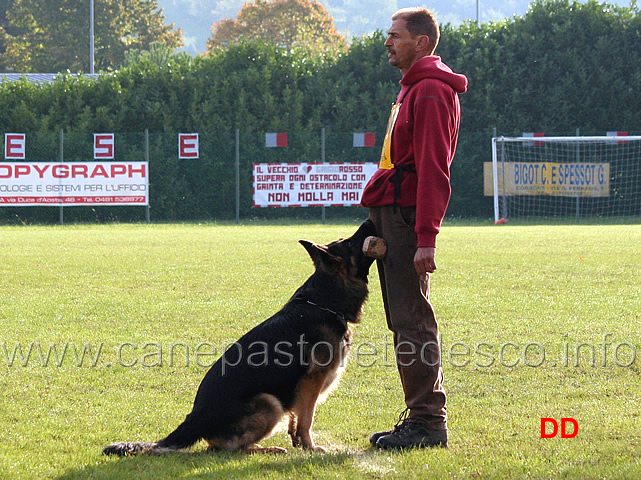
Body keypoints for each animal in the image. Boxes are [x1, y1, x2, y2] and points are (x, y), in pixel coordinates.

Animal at [102, 219, 378, 456]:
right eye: (351, 243)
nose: (368, 220)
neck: (323, 301)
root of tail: (195, 417)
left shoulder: (299, 390)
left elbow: (295, 419)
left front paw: (299, 444)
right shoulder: (312, 380)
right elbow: (306, 420)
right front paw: (310, 447)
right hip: (269, 402)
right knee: (226, 448)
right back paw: (267, 449)